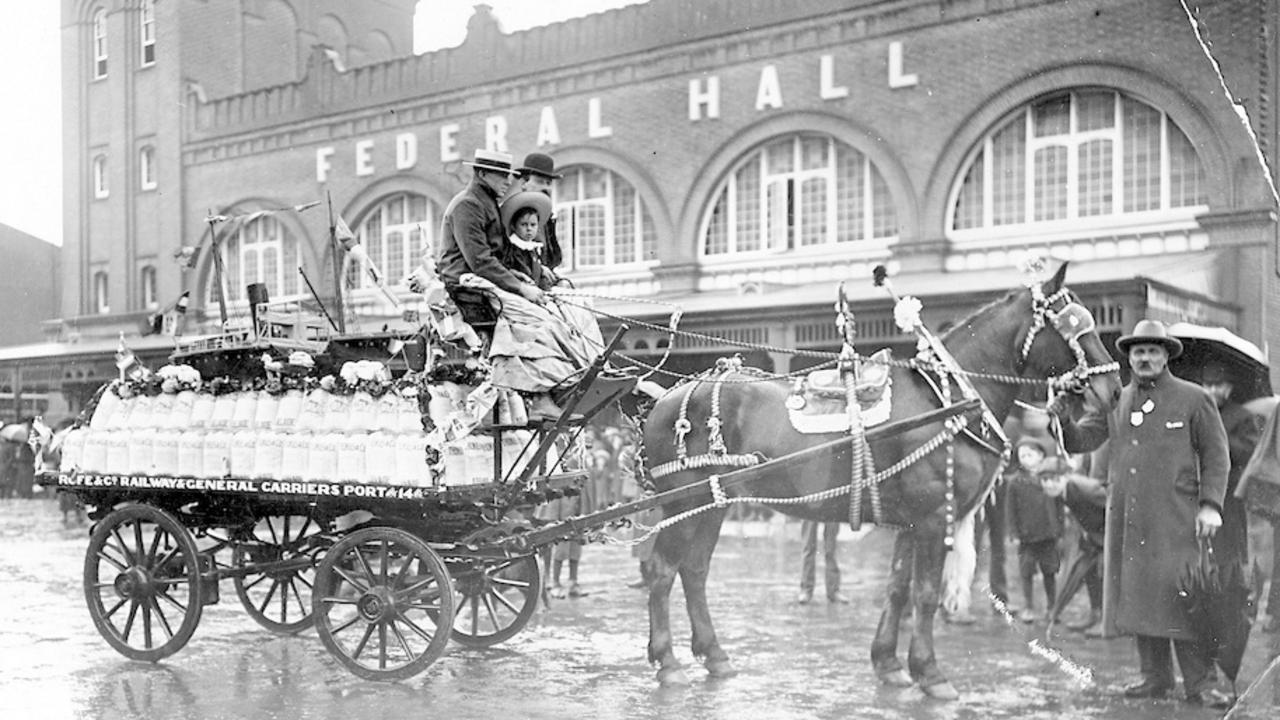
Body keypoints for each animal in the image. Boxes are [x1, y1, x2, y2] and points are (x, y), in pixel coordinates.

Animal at [640, 262, 1121, 696]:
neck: (947, 400)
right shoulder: (934, 520)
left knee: (694, 571)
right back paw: (668, 663)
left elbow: (898, 589)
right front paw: (931, 673)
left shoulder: (911, 523)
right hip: (683, 505)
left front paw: (889, 664)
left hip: (711, 505)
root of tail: (666, 396)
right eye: (1072, 325)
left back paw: (714, 655)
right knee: (661, 571)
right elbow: (925, 594)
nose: (1113, 390)